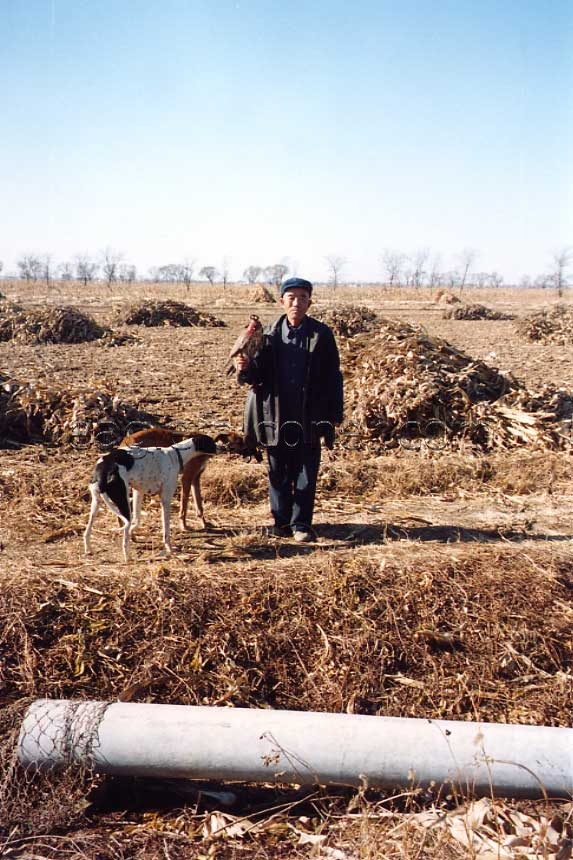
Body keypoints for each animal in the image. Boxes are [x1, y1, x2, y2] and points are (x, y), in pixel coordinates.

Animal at [84, 434, 217, 560]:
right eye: (212, 442)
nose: (220, 447)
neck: (175, 455)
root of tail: (104, 469)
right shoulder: (165, 499)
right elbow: (166, 530)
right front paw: (169, 548)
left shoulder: (138, 492)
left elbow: (137, 520)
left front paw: (134, 533)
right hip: (122, 502)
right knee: (125, 534)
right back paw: (127, 556)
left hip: (96, 504)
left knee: (87, 531)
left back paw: (89, 549)